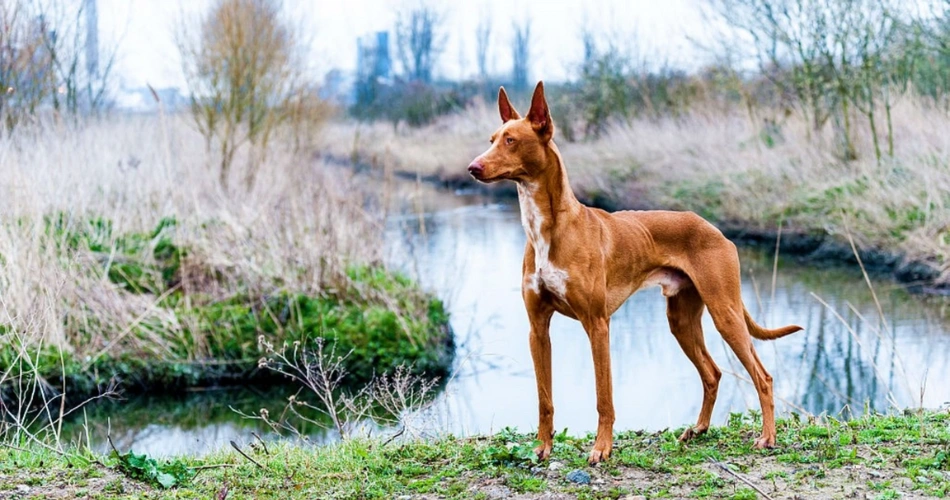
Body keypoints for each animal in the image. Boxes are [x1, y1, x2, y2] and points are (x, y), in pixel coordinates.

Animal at [468, 81, 804, 464]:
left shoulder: (597, 325)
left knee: (762, 376)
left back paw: (768, 436)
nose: (472, 167)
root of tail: (714, 228)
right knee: (712, 373)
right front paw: (542, 447)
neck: (548, 230)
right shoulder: (537, 329)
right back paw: (699, 429)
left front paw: (602, 448)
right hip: (681, 320)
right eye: (492, 138)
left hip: (725, 312)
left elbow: (604, 397)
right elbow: (544, 398)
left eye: (511, 140)